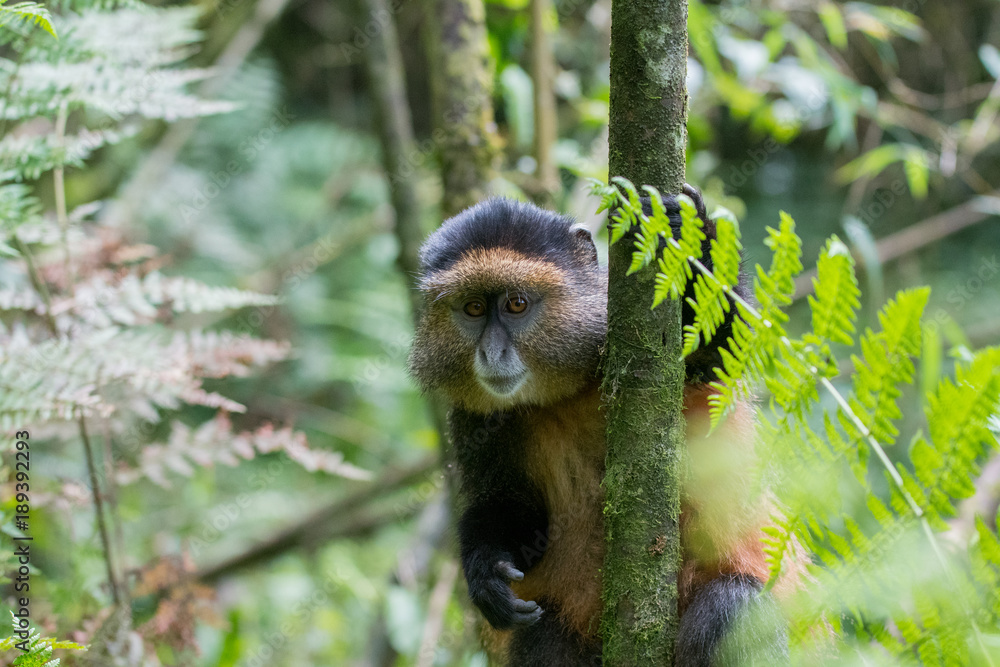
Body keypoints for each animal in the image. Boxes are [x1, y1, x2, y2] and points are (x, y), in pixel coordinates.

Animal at [407, 187, 803, 666]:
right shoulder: (474, 420)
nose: (491, 353)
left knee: (733, 606)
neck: (562, 391)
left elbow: (723, 351)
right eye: (473, 308)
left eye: (516, 303)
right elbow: (511, 505)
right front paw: (486, 572)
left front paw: (689, 233)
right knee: (544, 636)